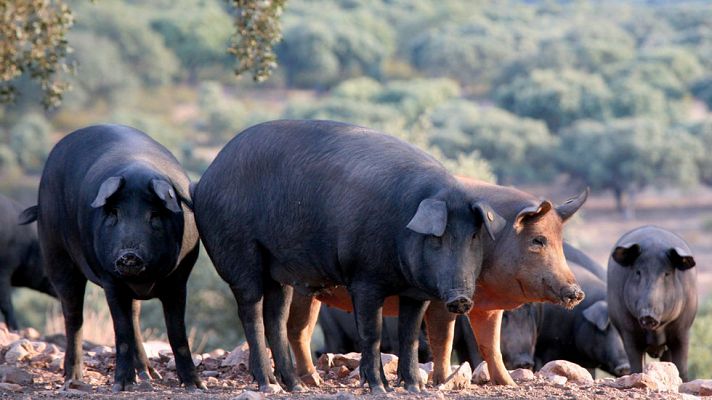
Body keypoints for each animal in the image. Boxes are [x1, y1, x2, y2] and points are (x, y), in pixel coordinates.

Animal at [20, 125, 203, 390]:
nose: (129, 256)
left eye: (155, 215)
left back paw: (149, 376)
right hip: (55, 251)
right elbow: (121, 331)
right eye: (114, 213)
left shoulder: (179, 279)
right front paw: (122, 386)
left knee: (134, 315)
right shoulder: (111, 280)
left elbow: (176, 332)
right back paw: (74, 379)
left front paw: (196, 386)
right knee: (73, 315)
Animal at [189, 119, 500, 394]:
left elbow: (409, 336)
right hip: (238, 253)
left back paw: (295, 386)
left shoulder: (415, 292)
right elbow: (372, 334)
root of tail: (205, 179)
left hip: (277, 269)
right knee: (250, 310)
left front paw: (414, 388)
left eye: (473, 236)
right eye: (438, 237)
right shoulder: (364, 279)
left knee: (275, 316)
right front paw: (379, 389)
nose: (461, 299)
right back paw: (268, 385)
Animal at [286, 178, 588, 384]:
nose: (577, 292)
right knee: (296, 330)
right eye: (538, 240)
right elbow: (445, 337)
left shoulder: (487, 308)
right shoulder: (443, 299)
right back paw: (311, 380)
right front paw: (443, 381)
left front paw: (508, 384)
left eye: (560, 241)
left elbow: (490, 345)